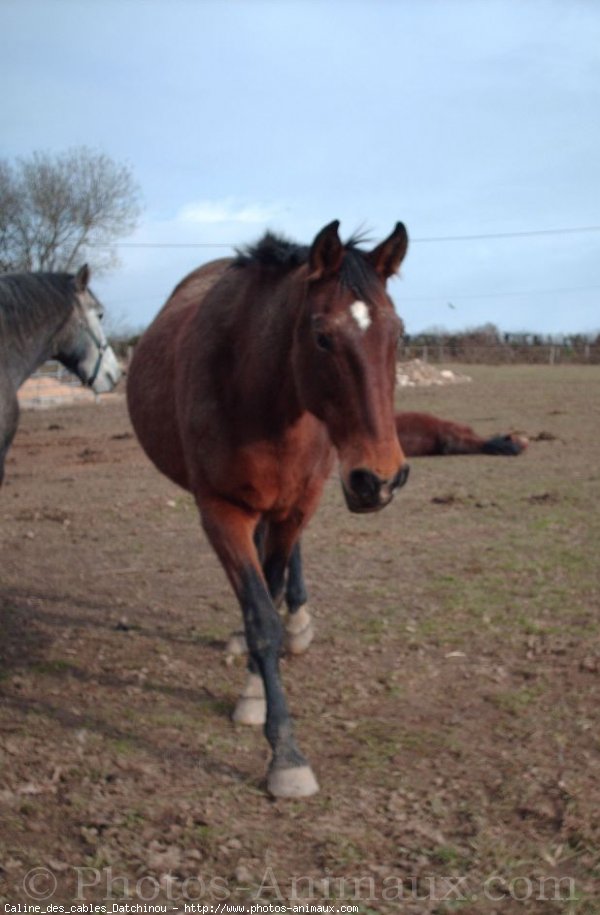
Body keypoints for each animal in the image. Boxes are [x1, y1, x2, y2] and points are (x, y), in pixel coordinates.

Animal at [128, 220, 410, 796]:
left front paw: (262, 685)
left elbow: (273, 592)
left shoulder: (297, 505)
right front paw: (284, 753)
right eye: (322, 336)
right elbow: (260, 615)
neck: (257, 393)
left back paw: (298, 620)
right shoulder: (221, 511)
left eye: (398, 333)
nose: (379, 480)